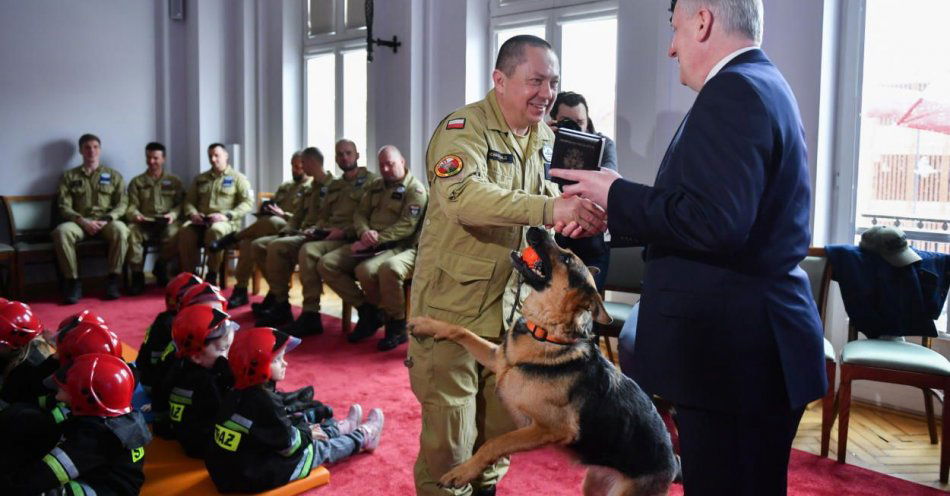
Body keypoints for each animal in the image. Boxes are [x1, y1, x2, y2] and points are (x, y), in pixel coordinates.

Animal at [410, 228, 676, 496]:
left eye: (567, 258)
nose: (536, 228)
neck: (545, 333)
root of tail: (673, 462)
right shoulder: (497, 359)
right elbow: (461, 330)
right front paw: (428, 324)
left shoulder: (550, 429)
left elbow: (496, 442)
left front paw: (462, 471)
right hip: (593, 485)